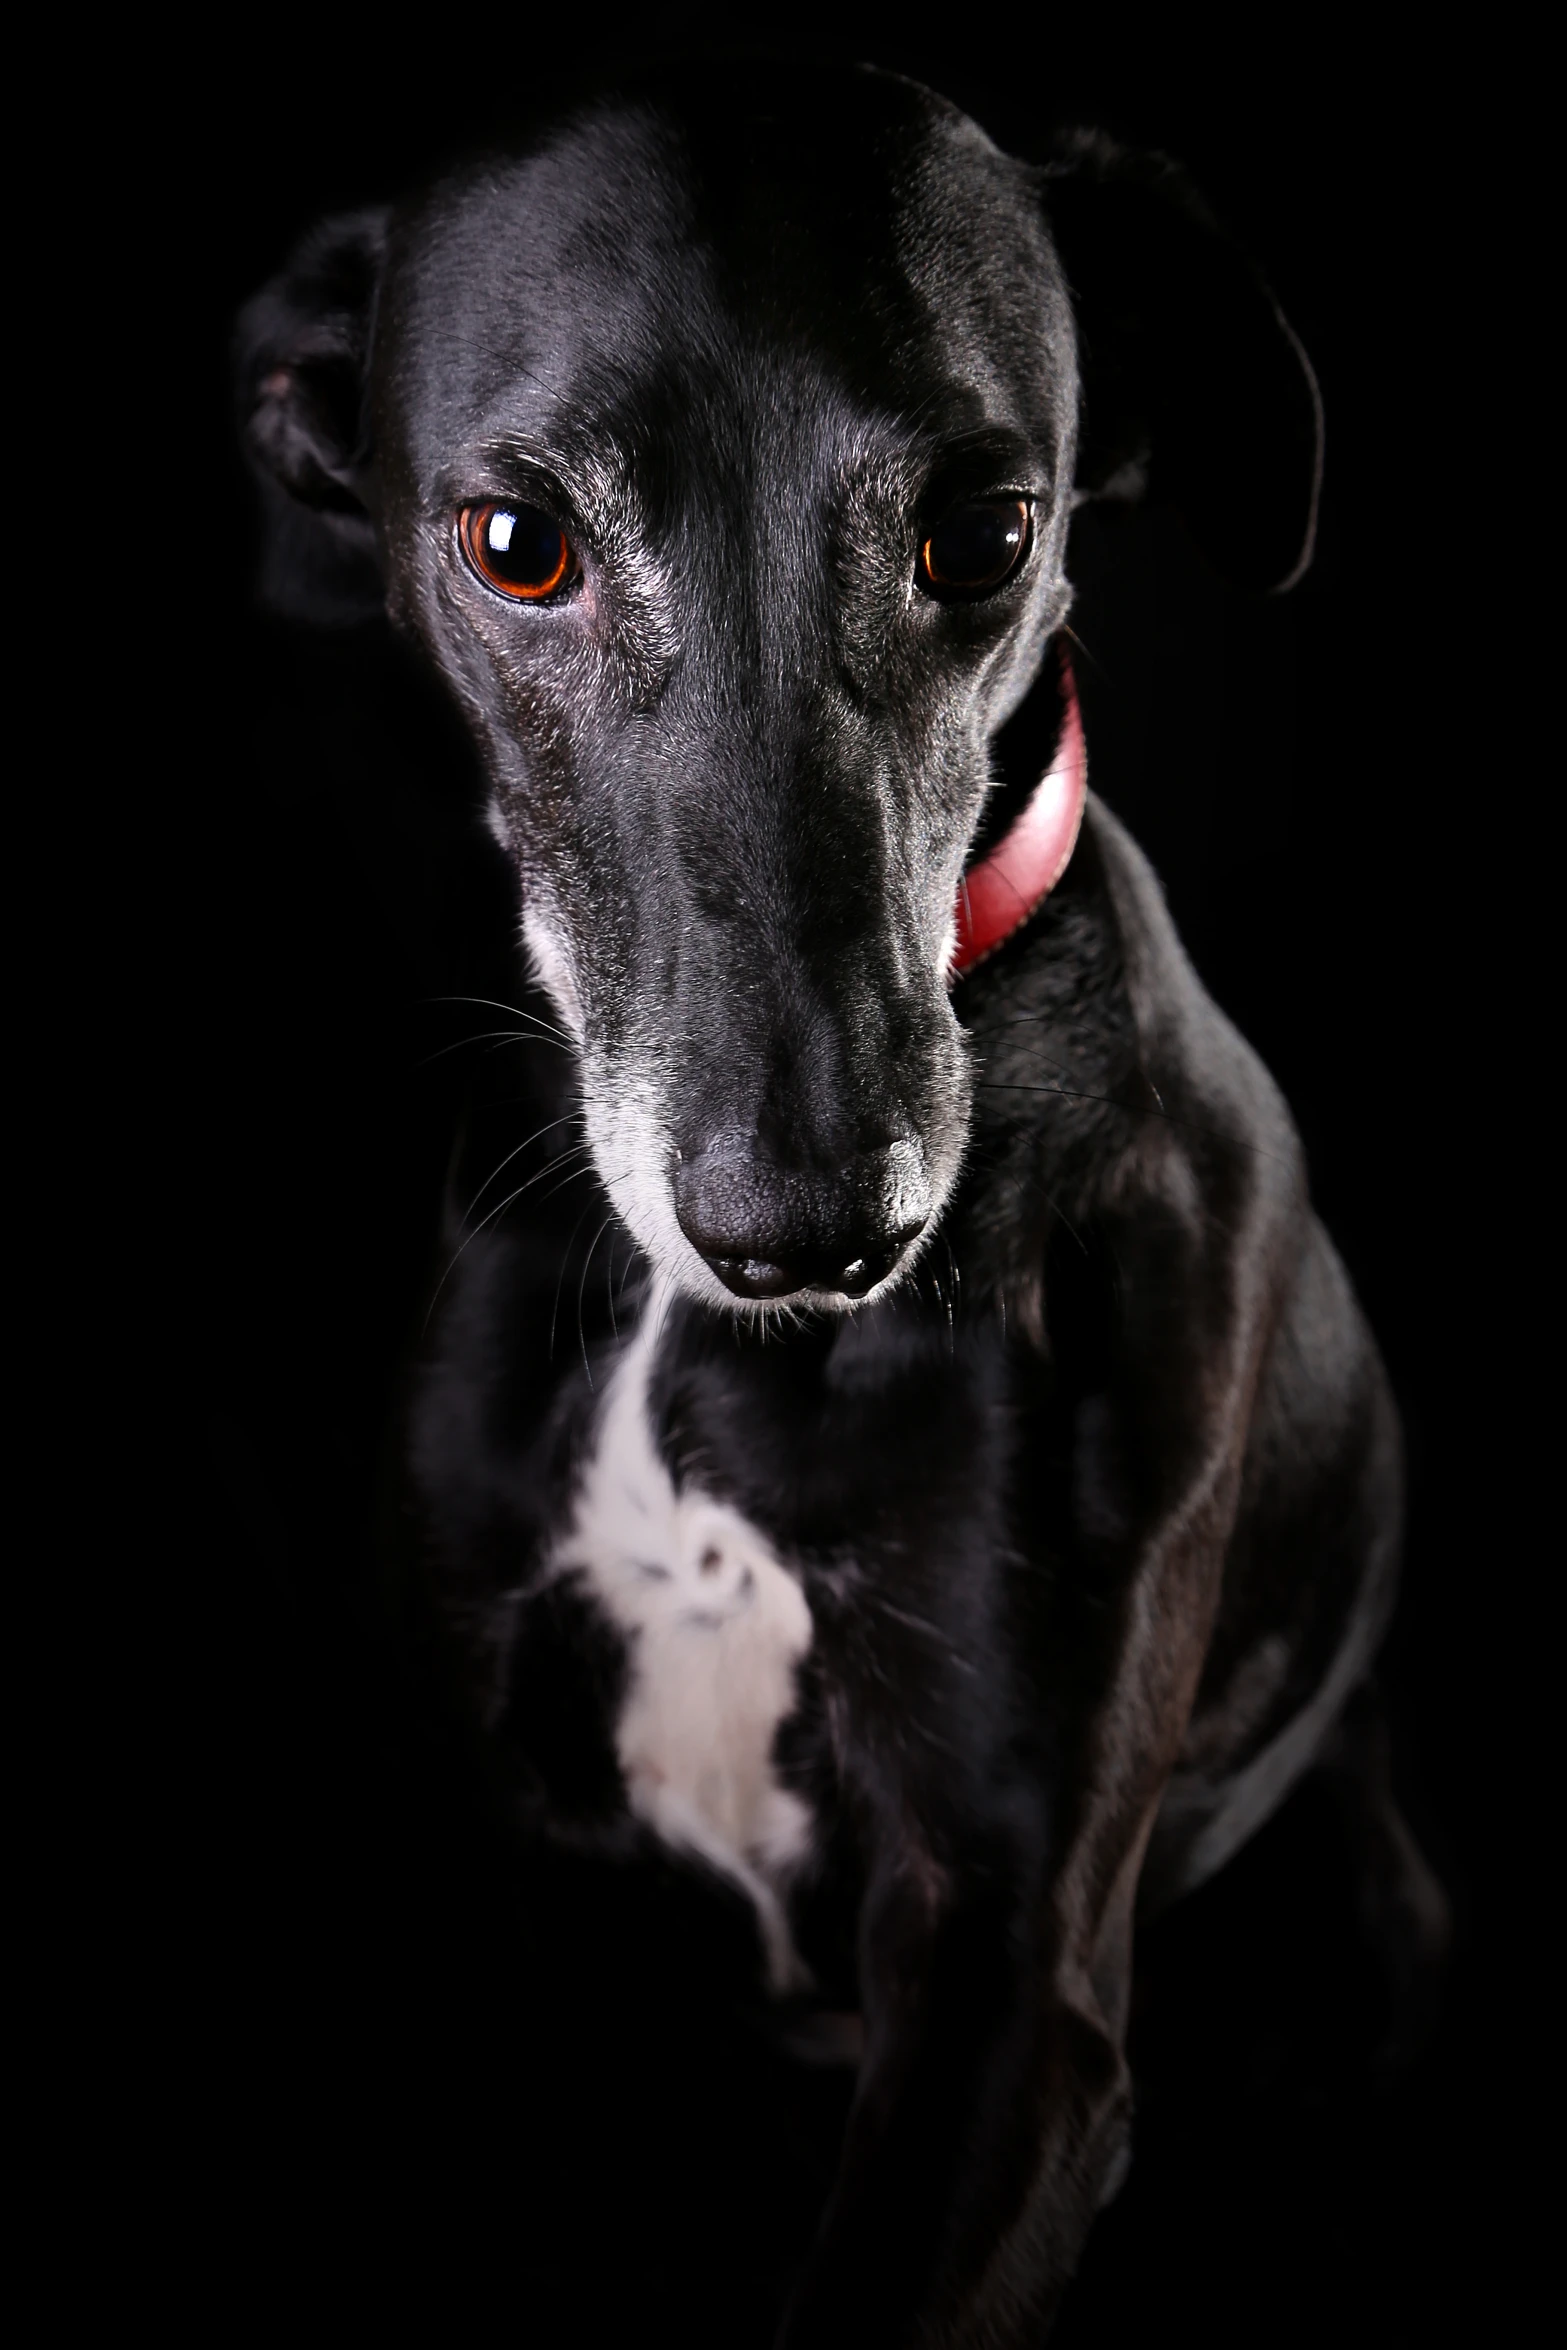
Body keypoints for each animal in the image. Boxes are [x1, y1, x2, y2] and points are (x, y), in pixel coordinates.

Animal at [239, 64, 1456, 2340]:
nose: (808, 1230)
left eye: (982, 533)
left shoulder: (1004, 1979)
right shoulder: (507, 1876)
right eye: (516, 543)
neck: (697, 1351)